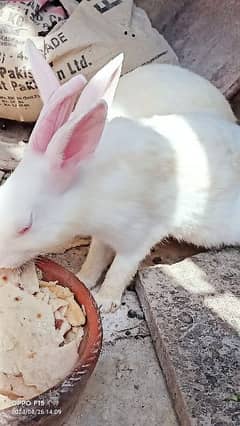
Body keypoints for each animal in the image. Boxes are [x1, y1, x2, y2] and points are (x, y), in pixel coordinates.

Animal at [0, 41, 240, 312]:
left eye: (26, 227)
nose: (1, 262)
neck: (90, 190)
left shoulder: (137, 238)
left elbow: (120, 270)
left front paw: (104, 302)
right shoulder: (102, 236)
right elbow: (96, 258)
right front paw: (84, 280)